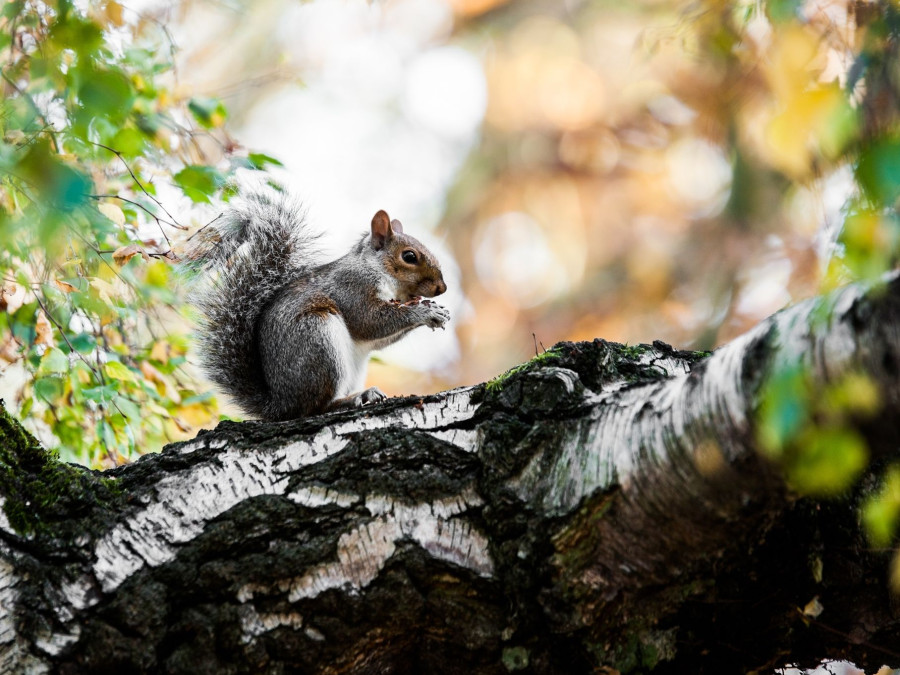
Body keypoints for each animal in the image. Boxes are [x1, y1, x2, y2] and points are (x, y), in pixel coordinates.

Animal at [185, 190, 450, 422]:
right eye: (409, 256)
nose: (442, 288)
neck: (374, 268)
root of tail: (281, 405)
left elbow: (378, 338)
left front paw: (436, 311)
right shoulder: (352, 287)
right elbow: (369, 321)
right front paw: (424, 311)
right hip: (317, 338)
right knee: (314, 408)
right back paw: (350, 399)